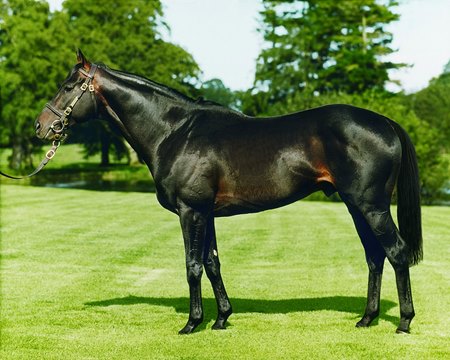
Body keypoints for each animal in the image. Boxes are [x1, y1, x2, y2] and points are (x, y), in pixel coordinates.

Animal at [35, 50, 422, 334]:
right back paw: (367, 318)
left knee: (396, 252)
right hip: (356, 206)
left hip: (371, 206)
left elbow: (192, 265)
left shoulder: (191, 210)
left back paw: (403, 322)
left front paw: (192, 323)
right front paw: (221, 318)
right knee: (375, 257)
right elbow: (212, 263)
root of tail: (385, 122)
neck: (174, 131)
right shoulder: (206, 213)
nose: (42, 126)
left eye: (69, 85)